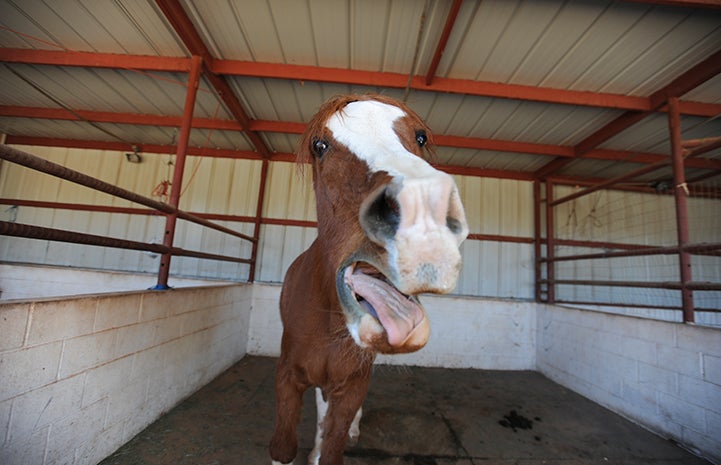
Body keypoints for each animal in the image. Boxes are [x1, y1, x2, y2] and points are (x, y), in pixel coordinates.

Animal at [268, 92, 466, 462]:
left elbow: (333, 445)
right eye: (320, 145)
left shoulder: (352, 385)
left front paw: (327, 445)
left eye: (420, 136)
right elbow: (283, 447)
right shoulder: (287, 377)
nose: (423, 214)